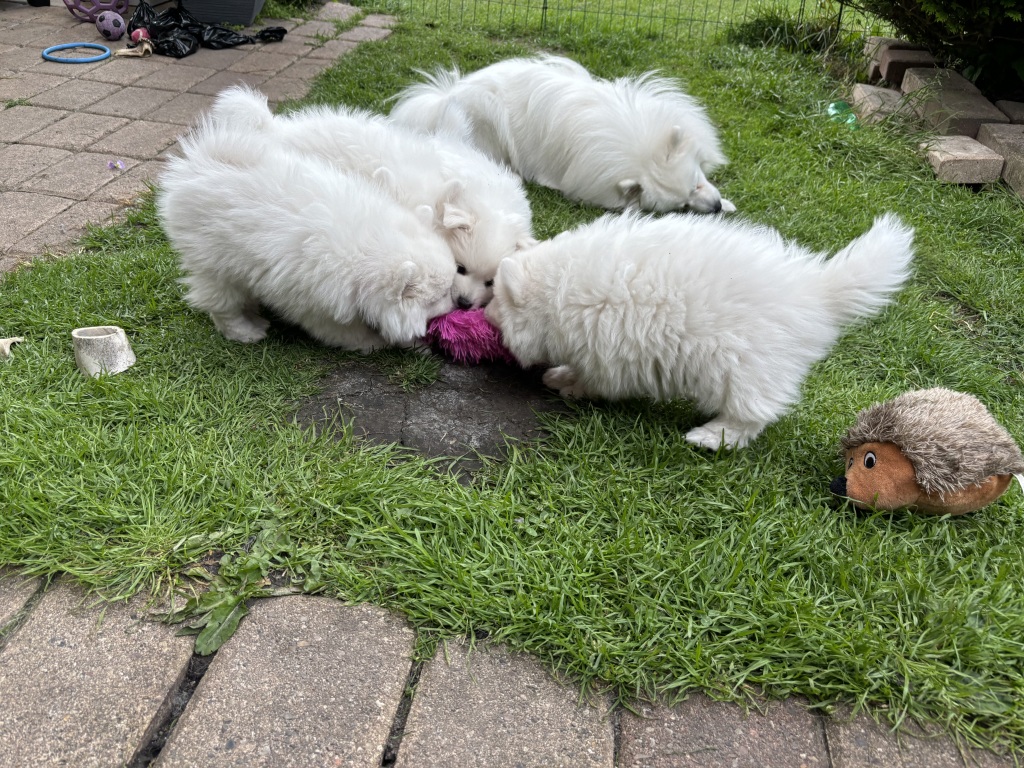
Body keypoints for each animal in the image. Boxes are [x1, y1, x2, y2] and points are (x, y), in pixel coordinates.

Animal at [158, 118, 456, 352]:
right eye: (438, 297)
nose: (457, 304)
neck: (369, 248)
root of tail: (203, 162)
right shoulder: (316, 304)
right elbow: (343, 330)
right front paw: (373, 342)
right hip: (215, 264)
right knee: (223, 305)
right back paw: (246, 331)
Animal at [390, 54, 734, 214]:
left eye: (697, 182)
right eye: (681, 207)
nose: (716, 208)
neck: (636, 149)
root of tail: (443, 98)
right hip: (488, 116)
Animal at [485, 212, 914, 450]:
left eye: (495, 300)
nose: (483, 312)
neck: (563, 290)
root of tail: (816, 292)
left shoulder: (608, 347)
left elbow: (597, 379)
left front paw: (570, 384)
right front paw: (562, 374)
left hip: (747, 365)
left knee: (750, 415)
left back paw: (712, 437)